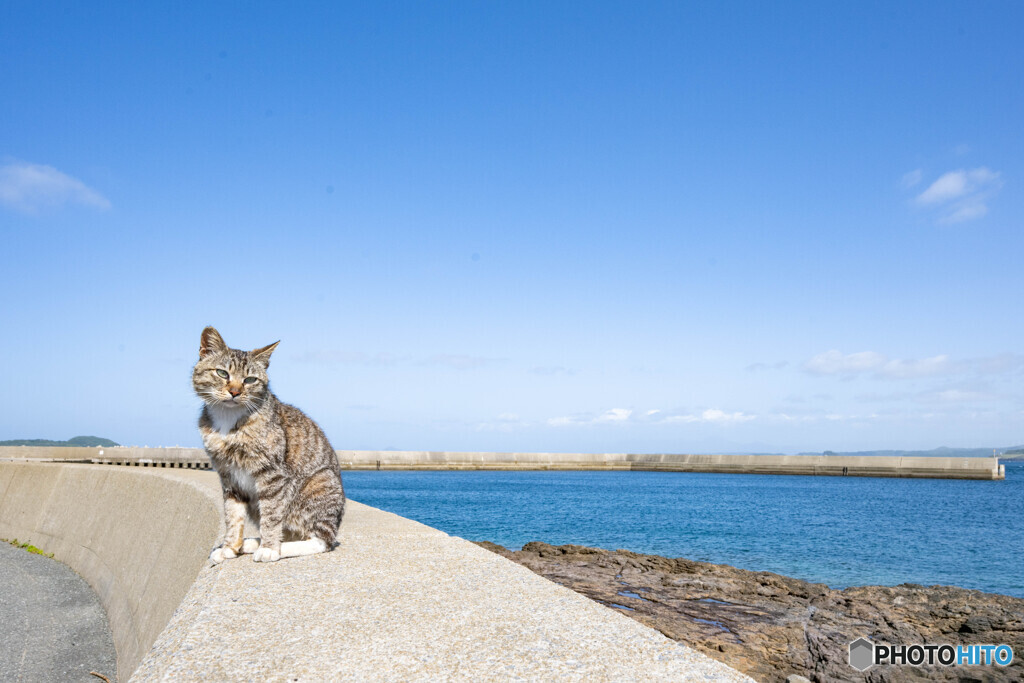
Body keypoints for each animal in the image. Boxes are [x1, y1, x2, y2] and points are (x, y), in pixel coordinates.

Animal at [193, 327, 346, 565]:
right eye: (222, 373)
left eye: (250, 379)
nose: (235, 392)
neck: (228, 418)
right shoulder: (228, 476)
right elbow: (233, 515)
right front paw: (229, 548)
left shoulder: (272, 473)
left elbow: (272, 515)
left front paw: (269, 549)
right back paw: (249, 544)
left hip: (320, 483)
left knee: (320, 540)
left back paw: (279, 547)